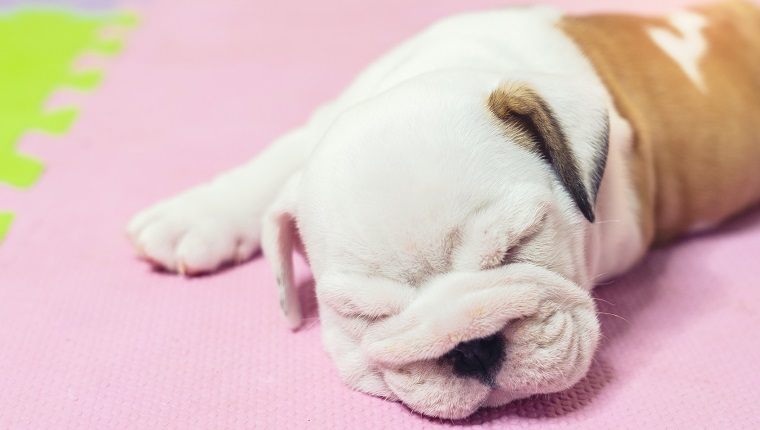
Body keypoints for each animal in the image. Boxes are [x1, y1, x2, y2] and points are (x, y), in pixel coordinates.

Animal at [127, 1, 760, 418]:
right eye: (362, 312)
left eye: (519, 244)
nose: (472, 346)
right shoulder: (319, 125)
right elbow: (275, 162)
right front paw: (195, 215)